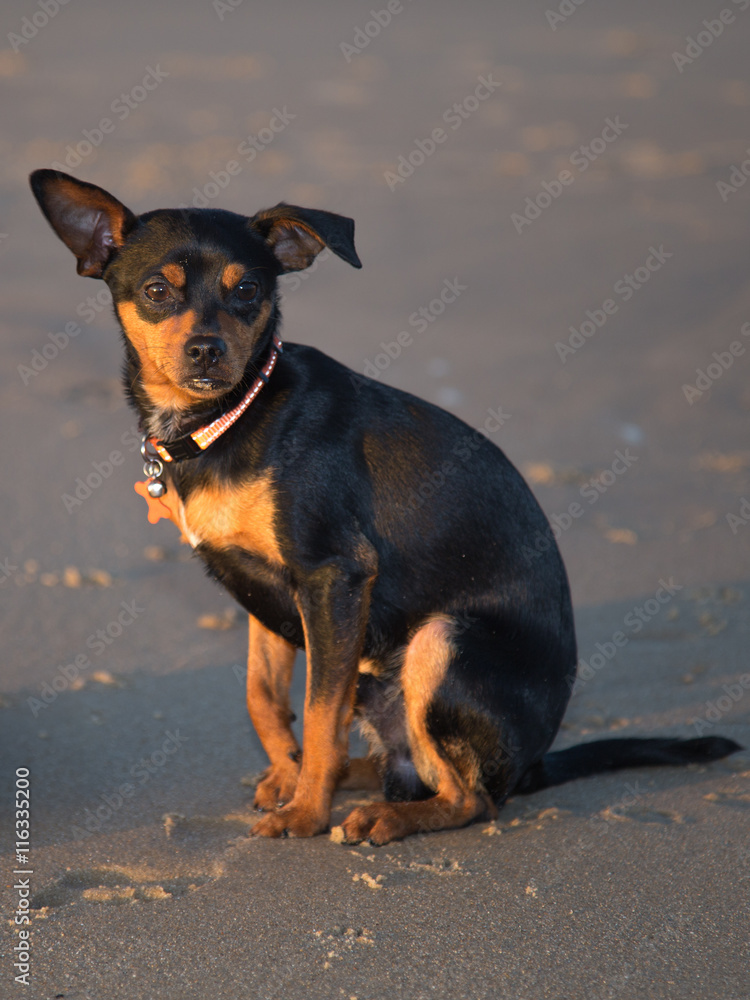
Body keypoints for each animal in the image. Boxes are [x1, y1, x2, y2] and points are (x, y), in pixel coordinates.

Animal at [30, 170, 748, 844]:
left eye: (248, 292)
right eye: (157, 291)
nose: (207, 349)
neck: (228, 419)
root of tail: (531, 764)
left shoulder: (332, 576)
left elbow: (320, 713)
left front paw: (304, 814)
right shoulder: (268, 591)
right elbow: (265, 696)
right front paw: (291, 777)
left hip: (442, 641)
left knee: (470, 798)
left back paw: (382, 814)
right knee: (408, 764)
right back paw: (342, 780)